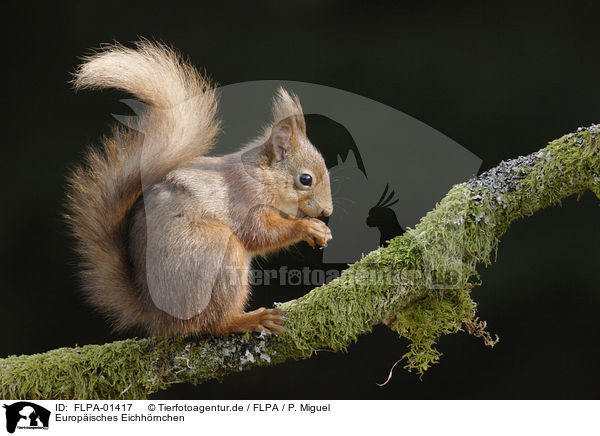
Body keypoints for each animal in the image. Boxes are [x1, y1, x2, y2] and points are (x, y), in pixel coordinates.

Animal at [69, 41, 338, 338]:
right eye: (306, 179)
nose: (327, 211)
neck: (259, 175)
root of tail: (156, 313)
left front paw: (320, 230)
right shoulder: (243, 198)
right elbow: (260, 233)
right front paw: (307, 227)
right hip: (216, 256)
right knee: (212, 323)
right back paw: (248, 320)